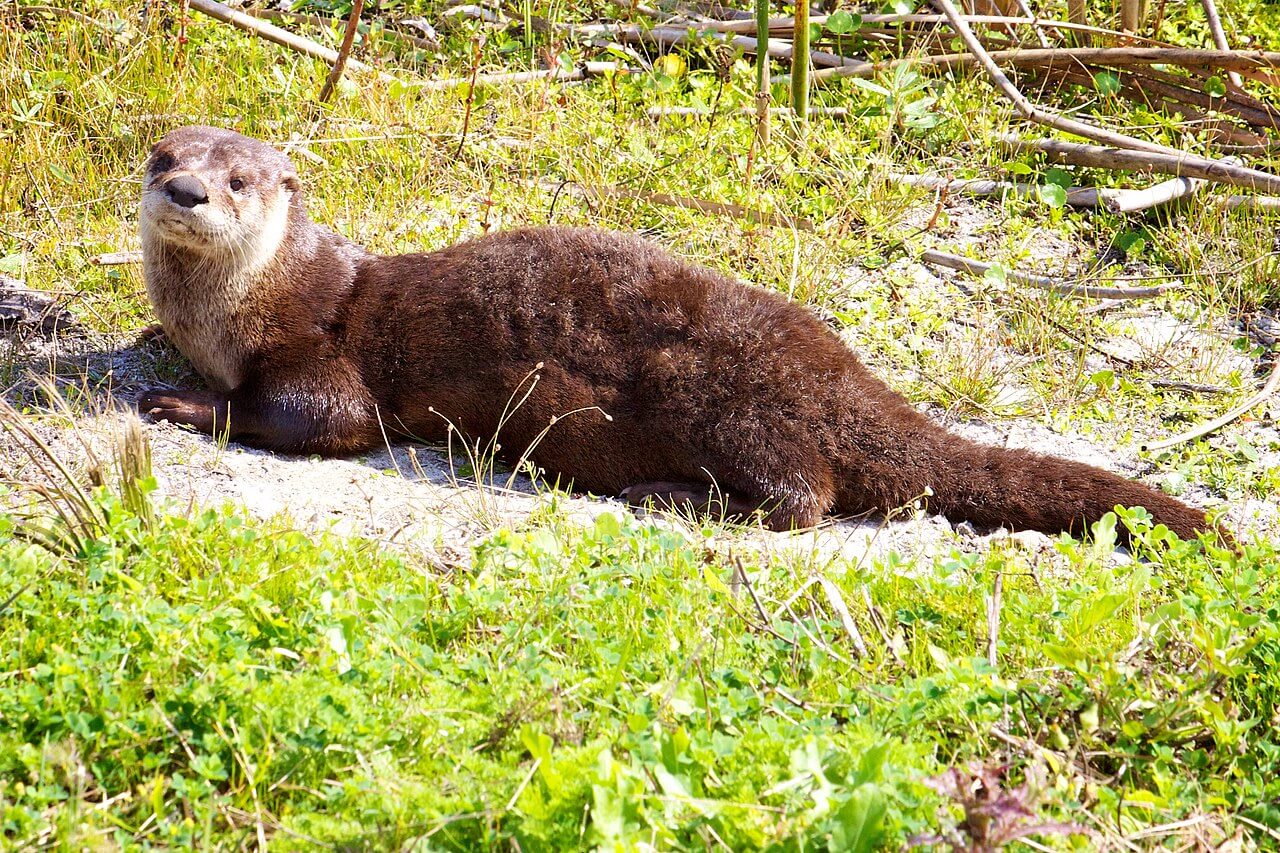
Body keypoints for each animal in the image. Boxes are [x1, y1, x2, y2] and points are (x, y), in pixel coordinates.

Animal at [137, 125, 1217, 541]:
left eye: (239, 179)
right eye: (162, 155)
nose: (186, 189)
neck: (238, 310)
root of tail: (842, 374)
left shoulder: (324, 353)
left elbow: (315, 416)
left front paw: (181, 399)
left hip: (718, 396)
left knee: (805, 497)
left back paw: (665, 496)